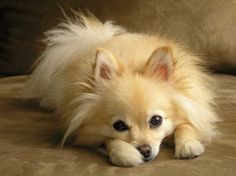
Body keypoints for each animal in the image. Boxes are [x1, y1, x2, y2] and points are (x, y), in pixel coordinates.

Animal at [27, 13, 218, 166]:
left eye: (156, 120)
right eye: (119, 125)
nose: (145, 150)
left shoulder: (194, 108)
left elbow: (186, 126)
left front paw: (188, 145)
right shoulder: (89, 133)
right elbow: (111, 140)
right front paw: (127, 155)